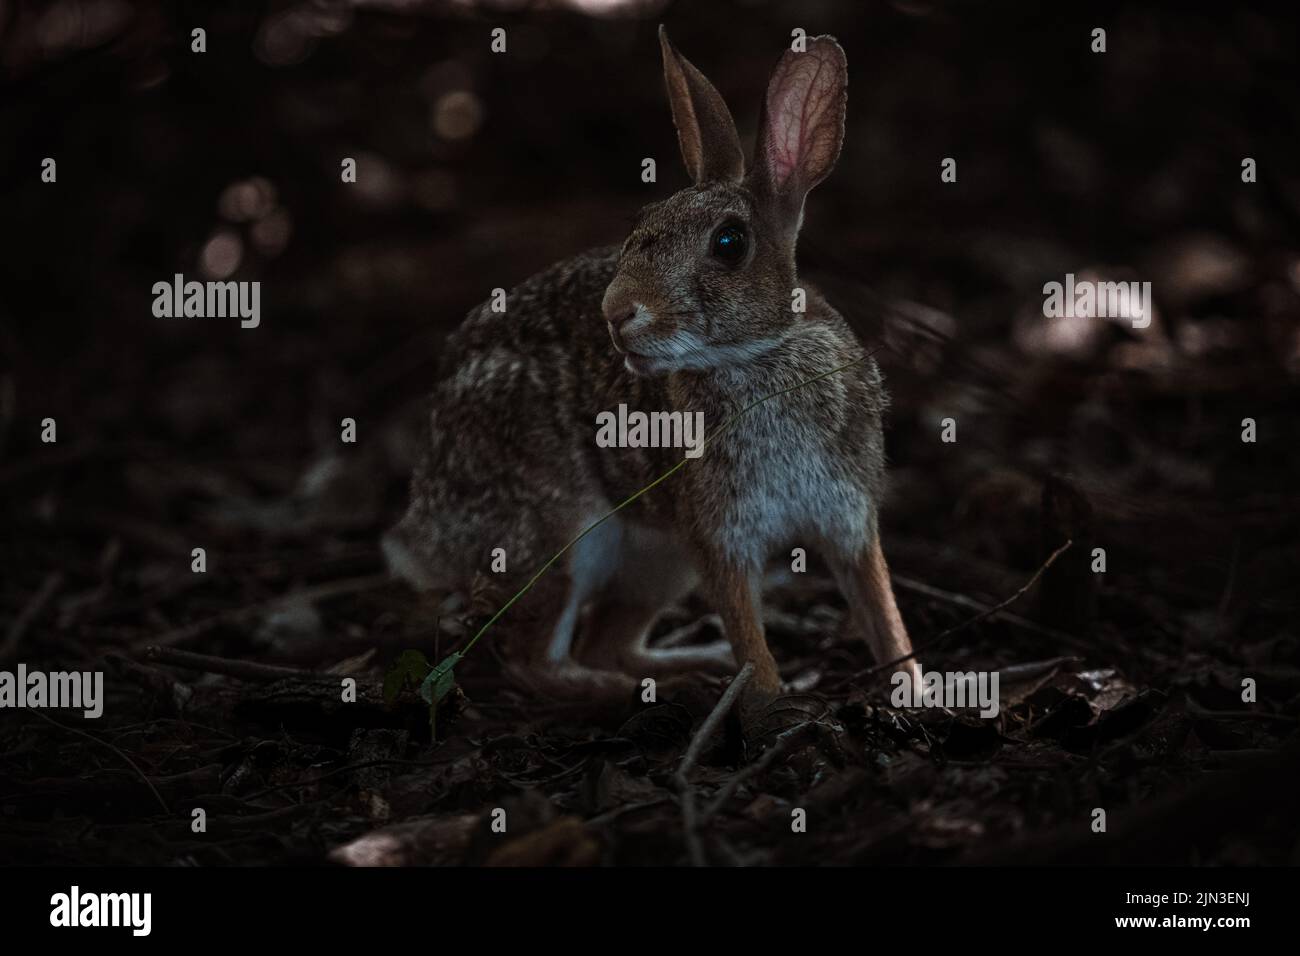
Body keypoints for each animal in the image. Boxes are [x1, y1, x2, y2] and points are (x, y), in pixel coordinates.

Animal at [383, 26, 920, 720]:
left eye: (729, 243)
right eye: (642, 223)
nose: (616, 313)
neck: (757, 354)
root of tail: (424, 525)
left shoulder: (848, 519)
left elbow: (882, 613)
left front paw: (919, 690)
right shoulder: (719, 536)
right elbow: (750, 634)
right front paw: (769, 703)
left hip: (659, 564)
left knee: (606, 643)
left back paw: (691, 667)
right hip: (560, 536)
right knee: (538, 661)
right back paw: (642, 690)